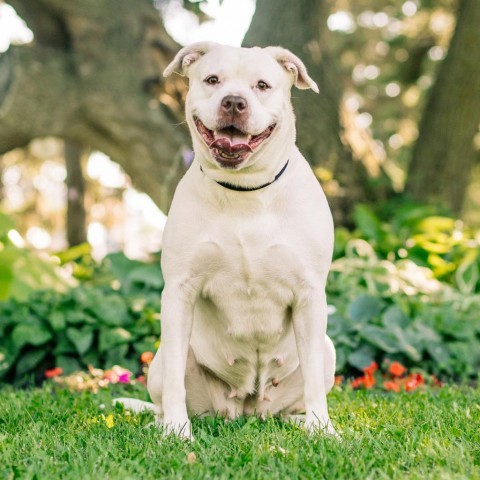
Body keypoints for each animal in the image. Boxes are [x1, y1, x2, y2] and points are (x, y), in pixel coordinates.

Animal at [116, 43, 336, 440]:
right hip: (163, 361)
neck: (245, 191)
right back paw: (164, 423)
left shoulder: (310, 295)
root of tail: (247, 409)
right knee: (167, 391)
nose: (234, 102)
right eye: (212, 80)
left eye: (262, 85)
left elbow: (312, 379)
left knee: (292, 403)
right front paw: (177, 432)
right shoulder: (179, 292)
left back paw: (302, 423)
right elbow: (175, 379)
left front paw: (325, 431)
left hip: (326, 352)